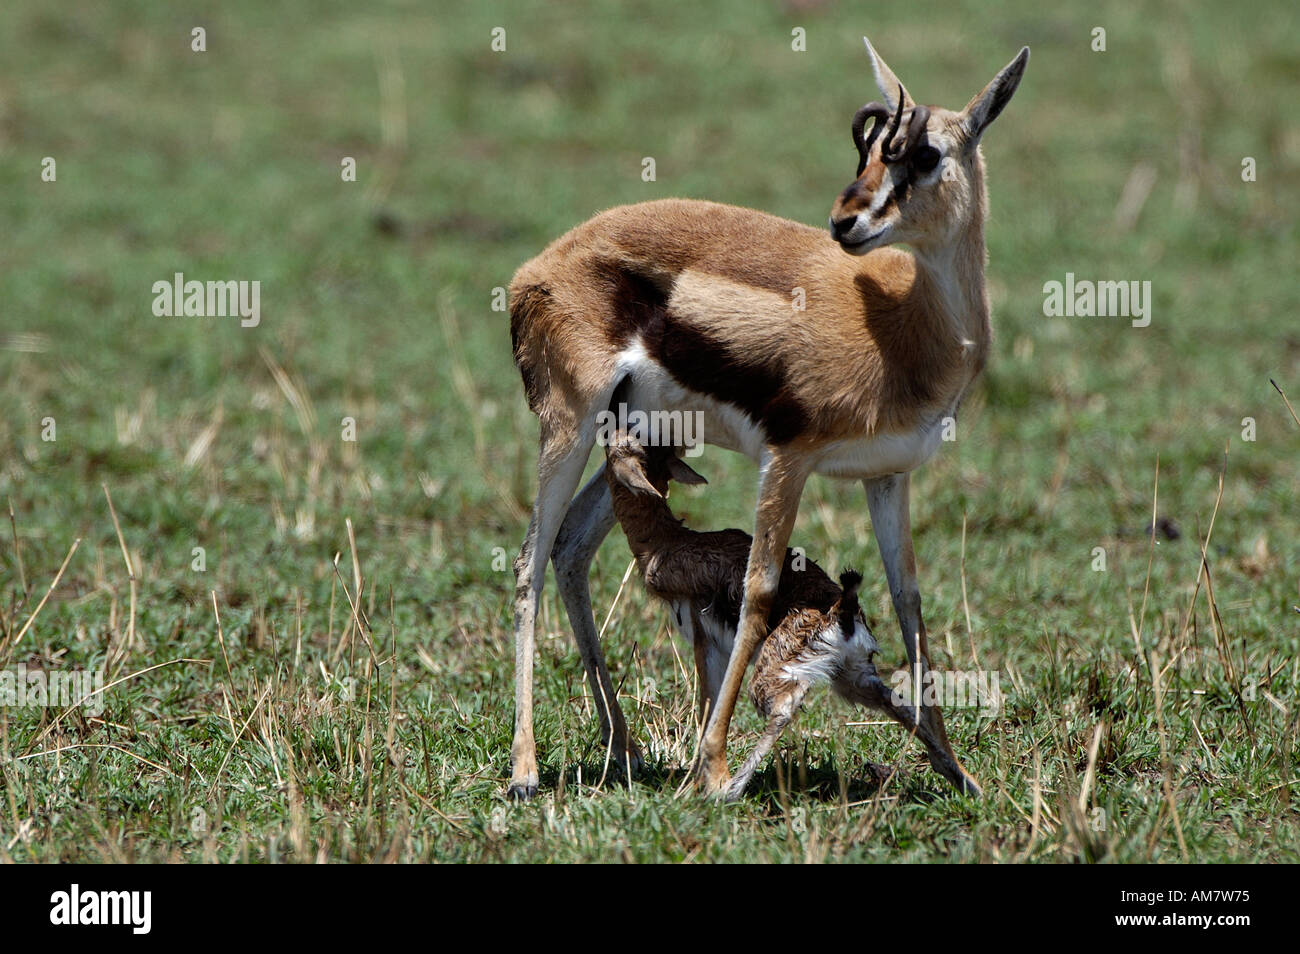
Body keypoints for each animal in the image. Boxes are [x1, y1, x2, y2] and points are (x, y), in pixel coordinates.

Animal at [601, 426, 973, 800]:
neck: (667, 544)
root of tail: (840, 610)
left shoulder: (705, 642)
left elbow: (709, 704)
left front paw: (698, 782)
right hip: (854, 677)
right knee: (902, 706)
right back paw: (966, 782)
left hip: (774, 678)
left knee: (785, 708)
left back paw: (731, 790)